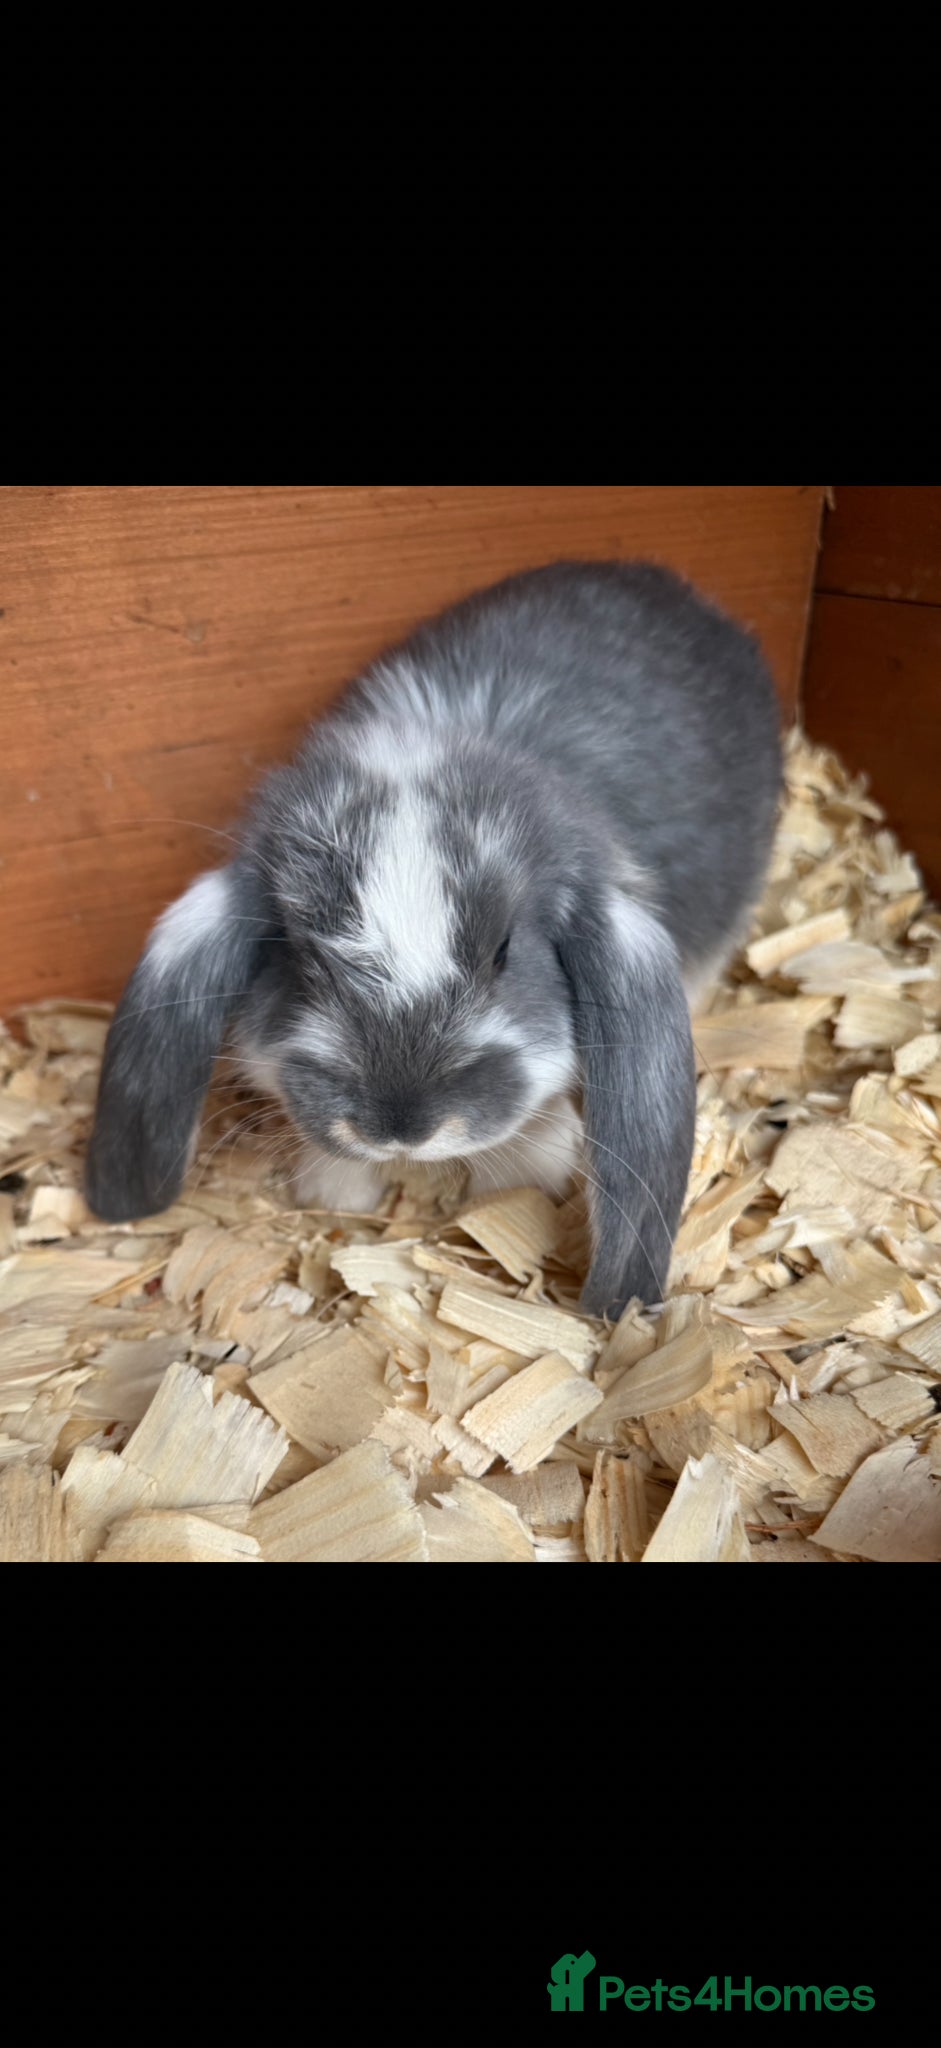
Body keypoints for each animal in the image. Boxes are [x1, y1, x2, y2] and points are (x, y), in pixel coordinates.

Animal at [85, 560, 782, 1317]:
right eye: (300, 957)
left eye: (505, 950)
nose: (399, 1129)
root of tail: (663, 581)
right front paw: (335, 1188)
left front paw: (522, 1182)